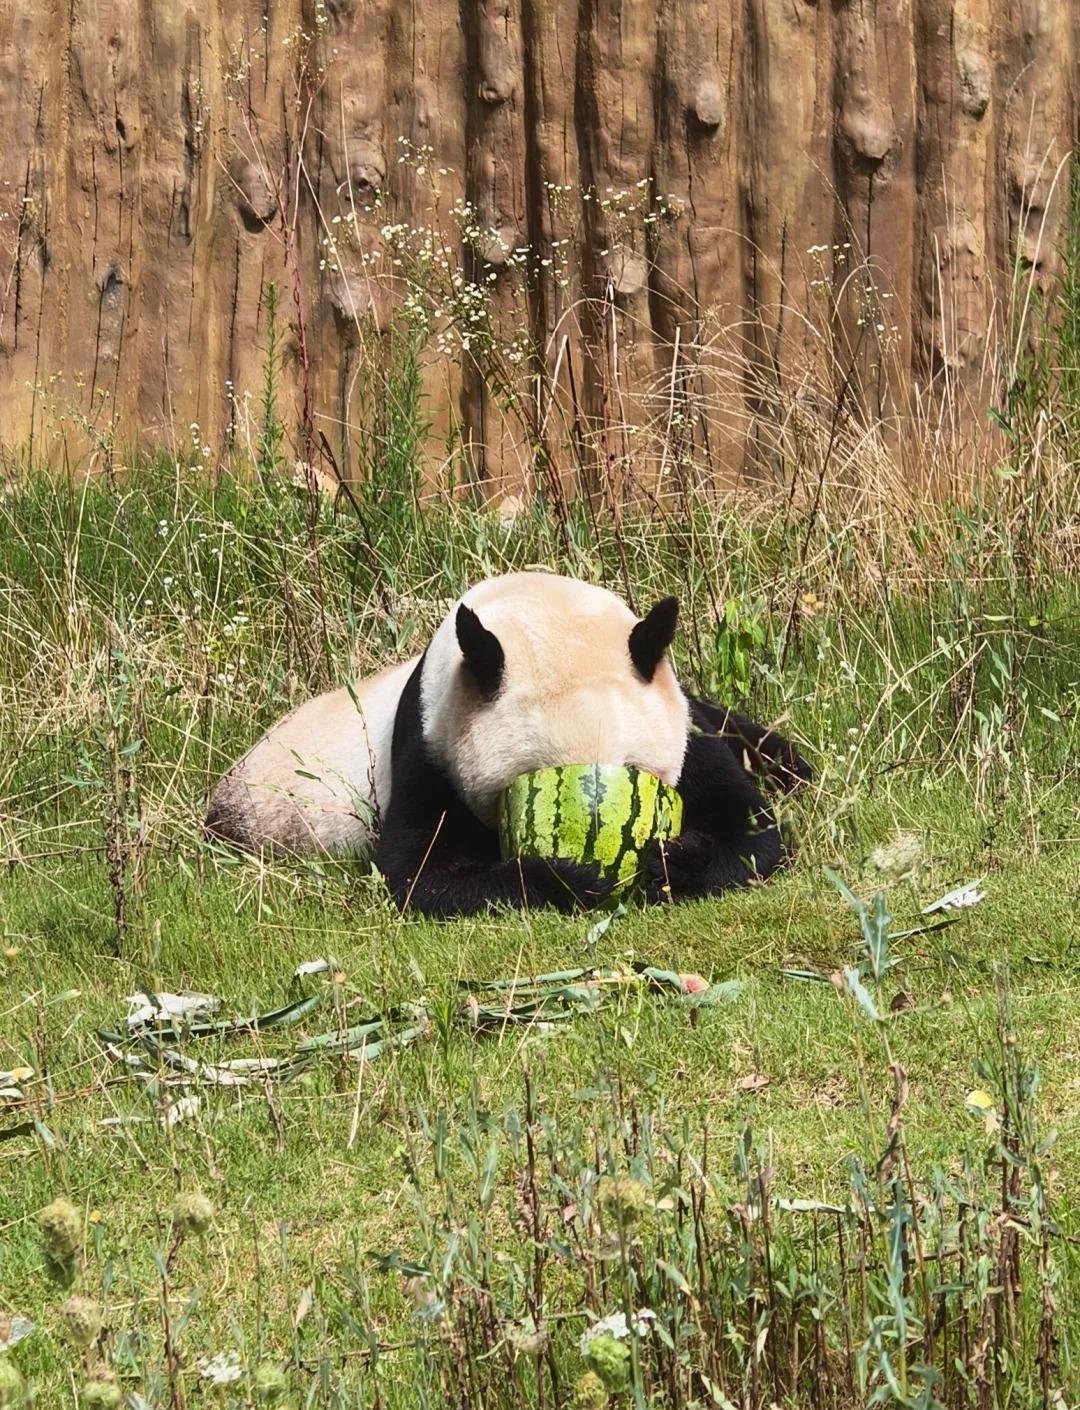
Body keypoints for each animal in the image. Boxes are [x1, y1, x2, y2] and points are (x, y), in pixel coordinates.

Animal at [206, 571, 811, 916]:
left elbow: (753, 832)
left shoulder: (682, 725)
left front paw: (669, 862)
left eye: (636, 770)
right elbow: (420, 874)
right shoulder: (430, 740)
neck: (542, 611)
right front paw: (572, 878)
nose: (599, 837)